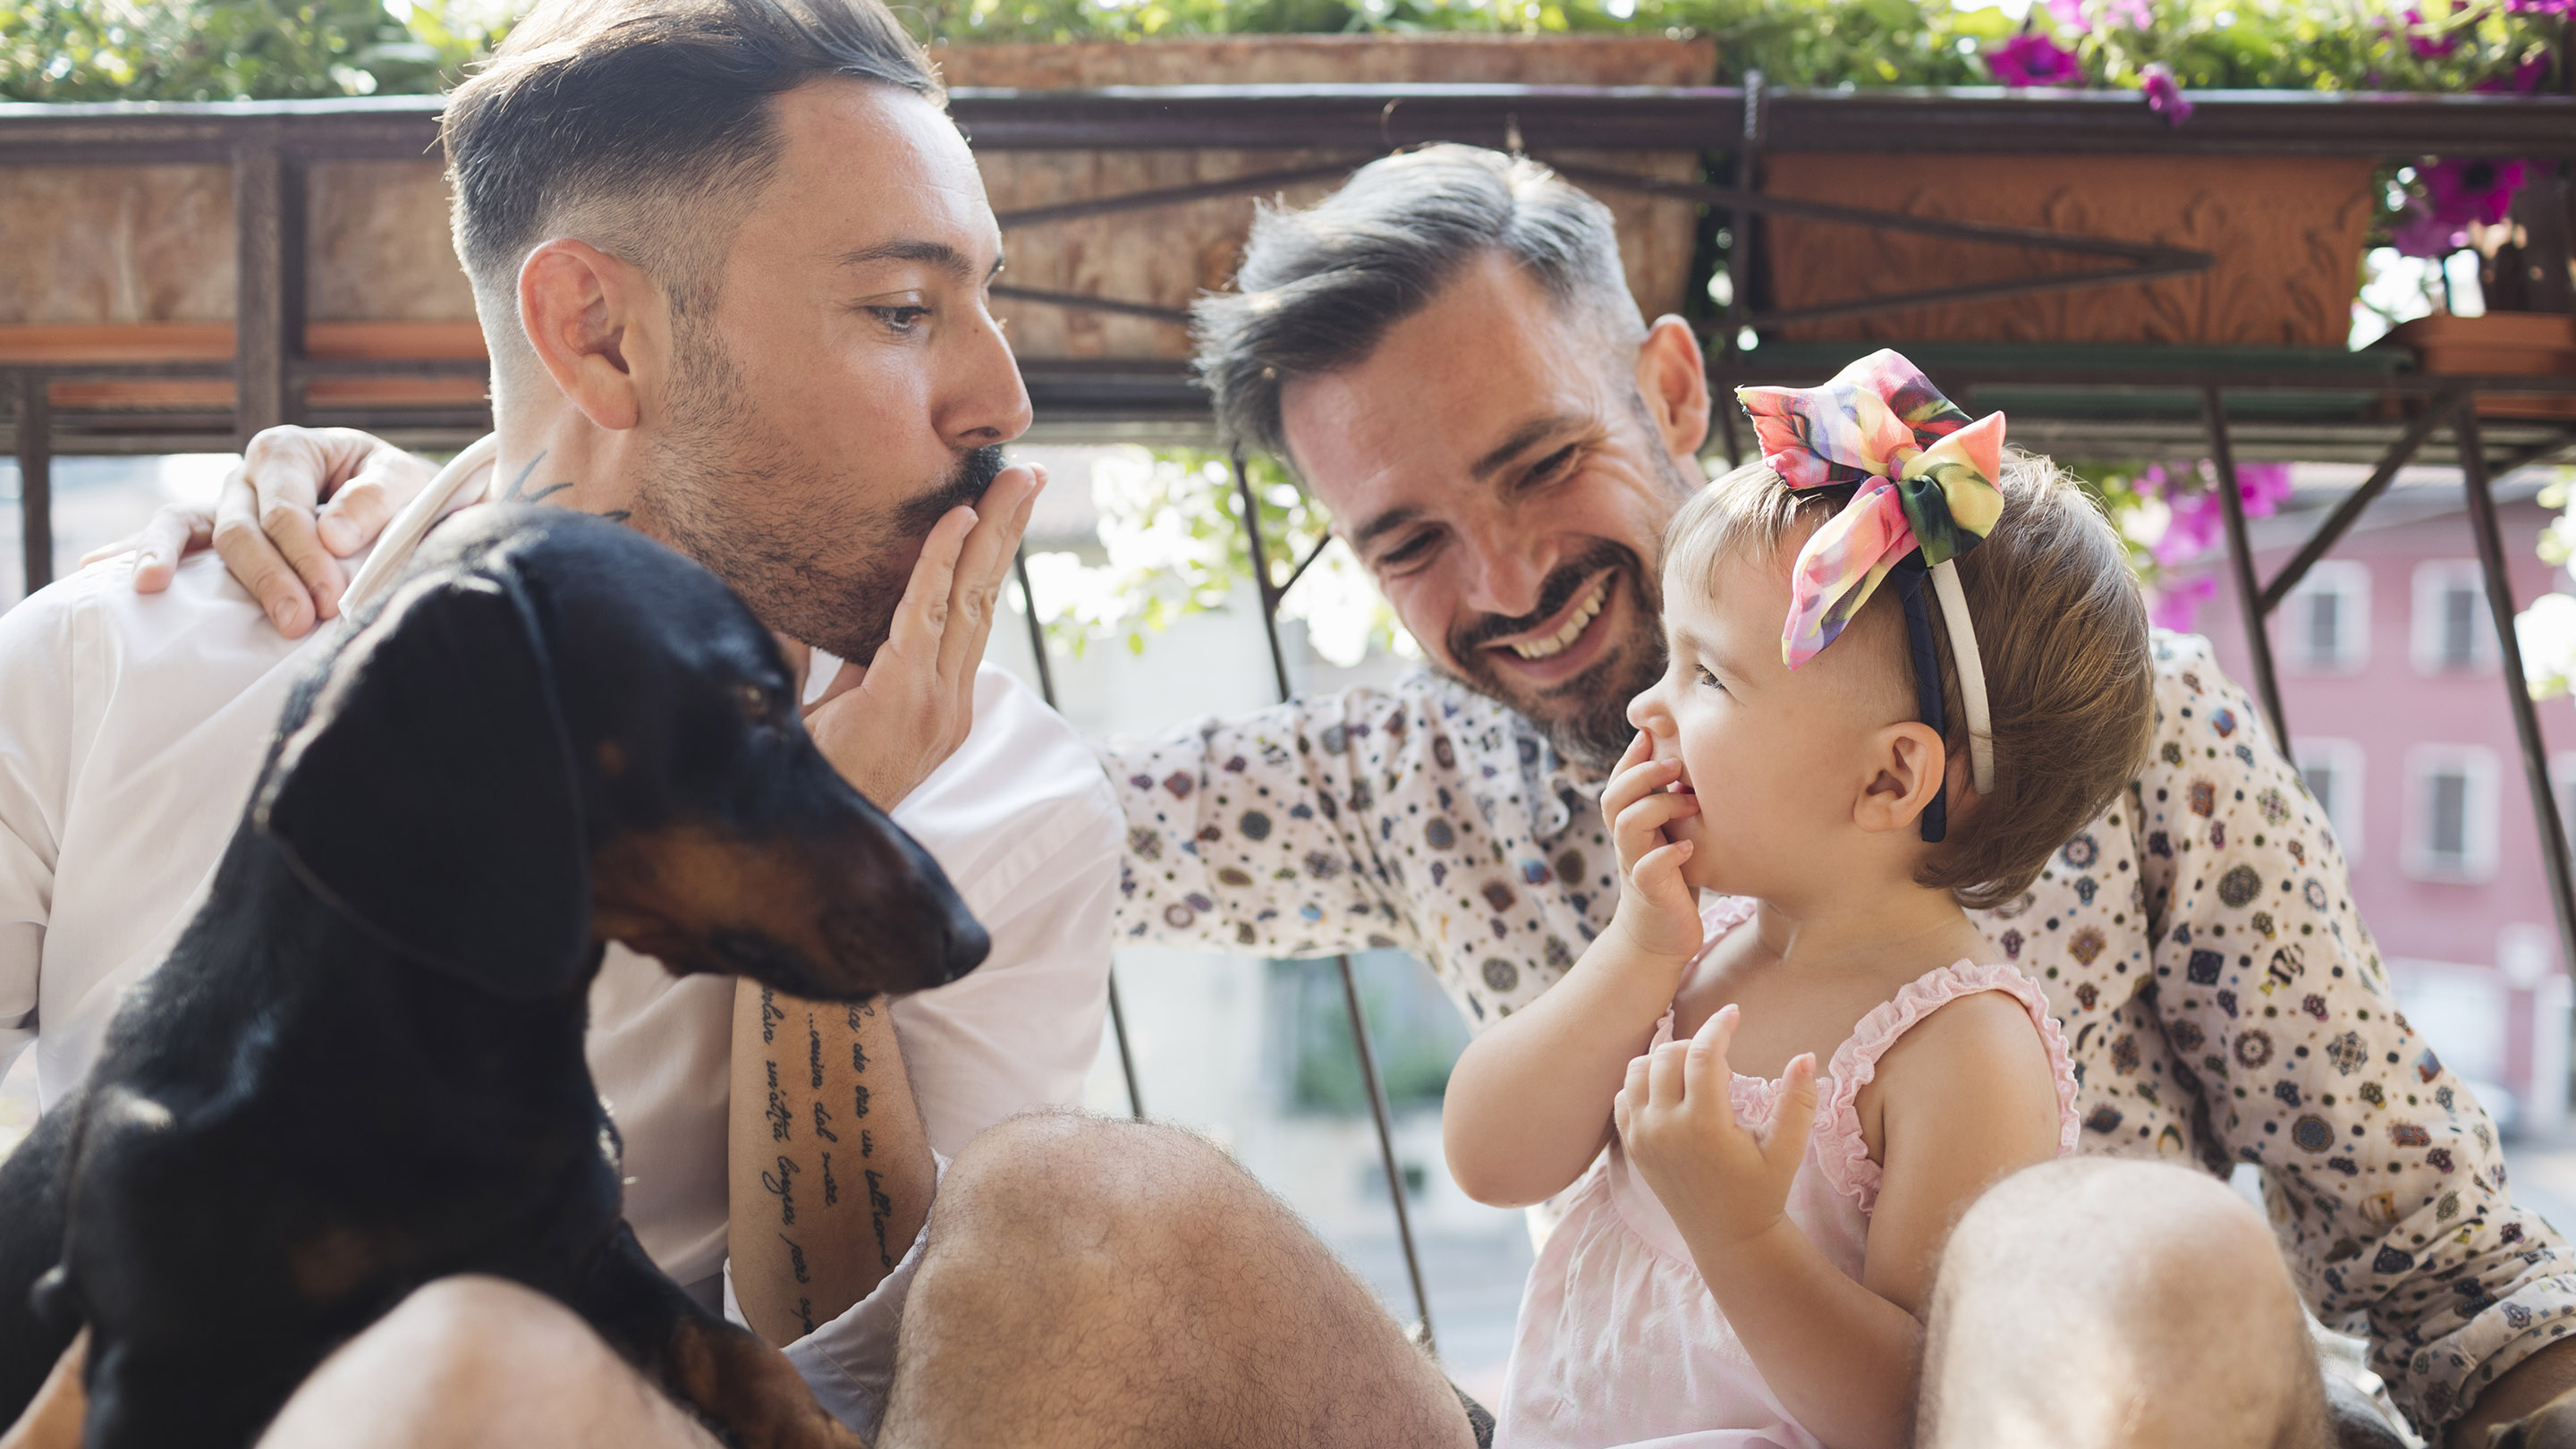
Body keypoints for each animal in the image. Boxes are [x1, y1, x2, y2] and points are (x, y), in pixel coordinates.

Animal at [0, 507, 979, 1444]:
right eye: (755, 706)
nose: (968, 937)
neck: (466, 1072)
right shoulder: (161, 1374)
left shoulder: (596, 1253)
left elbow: (744, 1354)